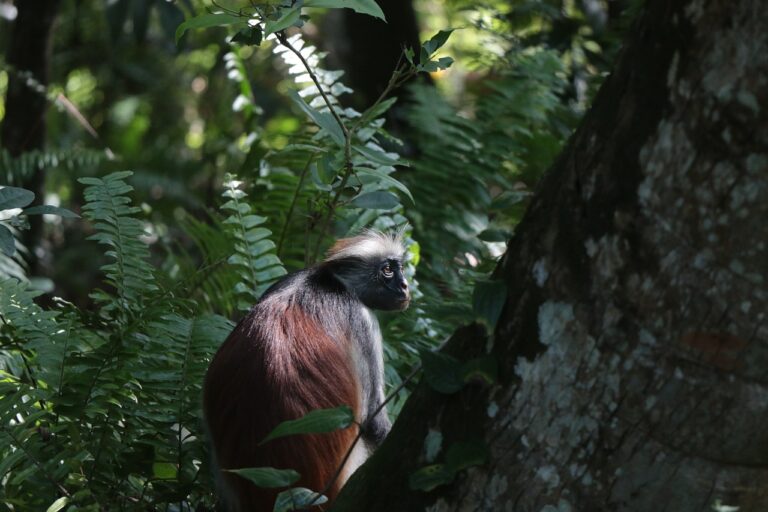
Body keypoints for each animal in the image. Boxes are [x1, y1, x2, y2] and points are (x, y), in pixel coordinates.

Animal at [203, 230, 410, 511]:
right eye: (387, 270)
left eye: (399, 268)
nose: (405, 285)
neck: (327, 283)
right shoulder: (362, 320)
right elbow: (373, 423)